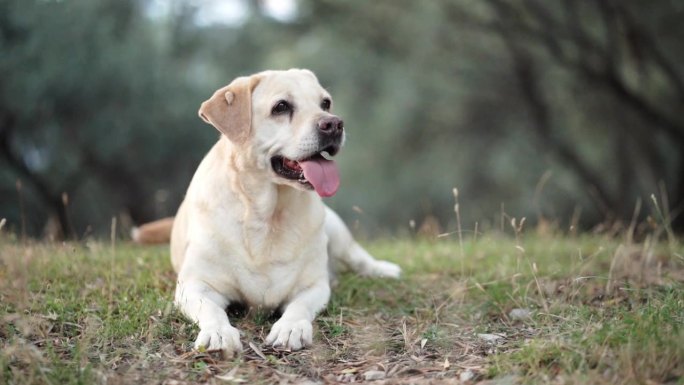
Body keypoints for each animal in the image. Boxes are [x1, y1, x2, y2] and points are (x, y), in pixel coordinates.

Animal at [134, 70, 400, 356]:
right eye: (281, 107)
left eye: (325, 103)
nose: (334, 124)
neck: (266, 215)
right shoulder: (196, 285)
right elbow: (212, 310)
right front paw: (218, 333)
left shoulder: (313, 286)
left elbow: (299, 306)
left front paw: (290, 328)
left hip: (336, 230)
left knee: (358, 258)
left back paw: (384, 269)